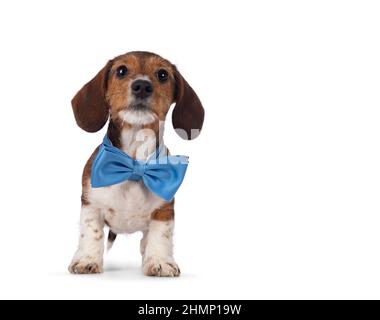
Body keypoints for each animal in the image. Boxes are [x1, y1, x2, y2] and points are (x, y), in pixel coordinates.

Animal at [68, 51, 205, 276]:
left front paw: (160, 261)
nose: (142, 86)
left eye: (162, 74)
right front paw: (86, 260)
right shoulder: (91, 204)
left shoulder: (164, 209)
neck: (133, 164)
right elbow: (91, 233)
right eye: (121, 70)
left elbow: (161, 236)